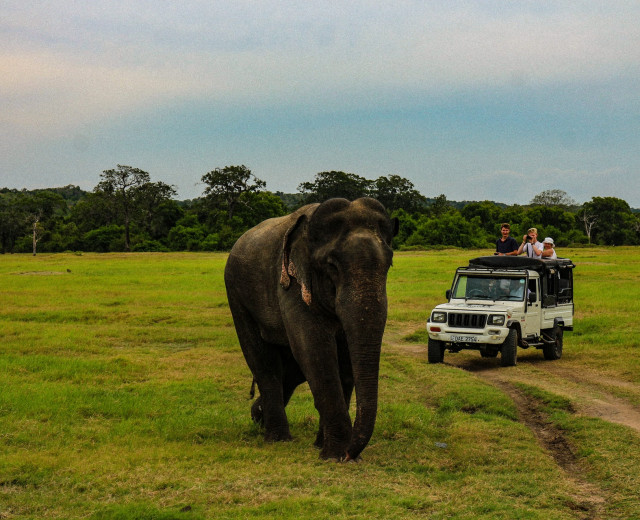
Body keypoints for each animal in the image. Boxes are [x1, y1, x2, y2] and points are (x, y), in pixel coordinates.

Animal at [222, 198, 398, 460]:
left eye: (389, 264)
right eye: (332, 266)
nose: (351, 453)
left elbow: (343, 357)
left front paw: (326, 447)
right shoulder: (292, 284)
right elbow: (314, 348)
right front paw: (336, 455)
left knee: (290, 370)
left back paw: (258, 416)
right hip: (236, 295)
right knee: (263, 361)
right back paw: (277, 438)